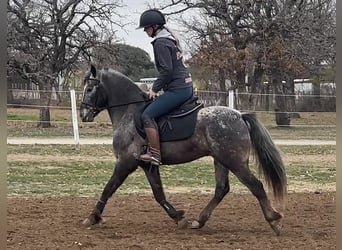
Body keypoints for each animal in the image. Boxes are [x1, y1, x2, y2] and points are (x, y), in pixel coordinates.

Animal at [79, 65, 288, 236]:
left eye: (89, 89)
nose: (83, 114)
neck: (129, 113)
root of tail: (239, 115)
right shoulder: (147, 165)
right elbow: (159, 194)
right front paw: (179, 218)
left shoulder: (125, 163)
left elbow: (108, 189)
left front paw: (92, 217)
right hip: (221, 160)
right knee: (222, 189)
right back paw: (199, 221)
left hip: (234, 162)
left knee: (256, 186)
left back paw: (274, 221)